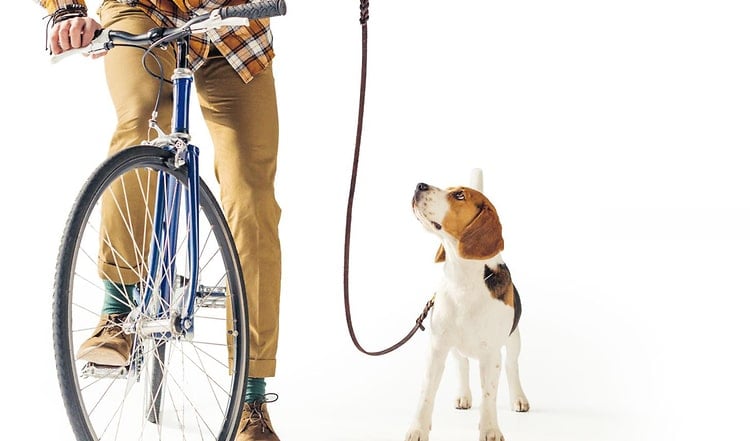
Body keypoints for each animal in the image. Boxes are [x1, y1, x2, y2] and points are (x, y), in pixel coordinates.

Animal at [412, 169, 528, 440]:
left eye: (459, 195)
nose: (419, 185)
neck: (463, 279)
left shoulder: (491, 355)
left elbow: (489, 396)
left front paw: (490, 429)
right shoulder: (437, 348)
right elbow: (426, 393)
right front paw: (417, 429)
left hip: (513, 339)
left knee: (512, 366)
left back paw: (518, 398)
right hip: (455, 347)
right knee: (462, 364)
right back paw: (463, 395)